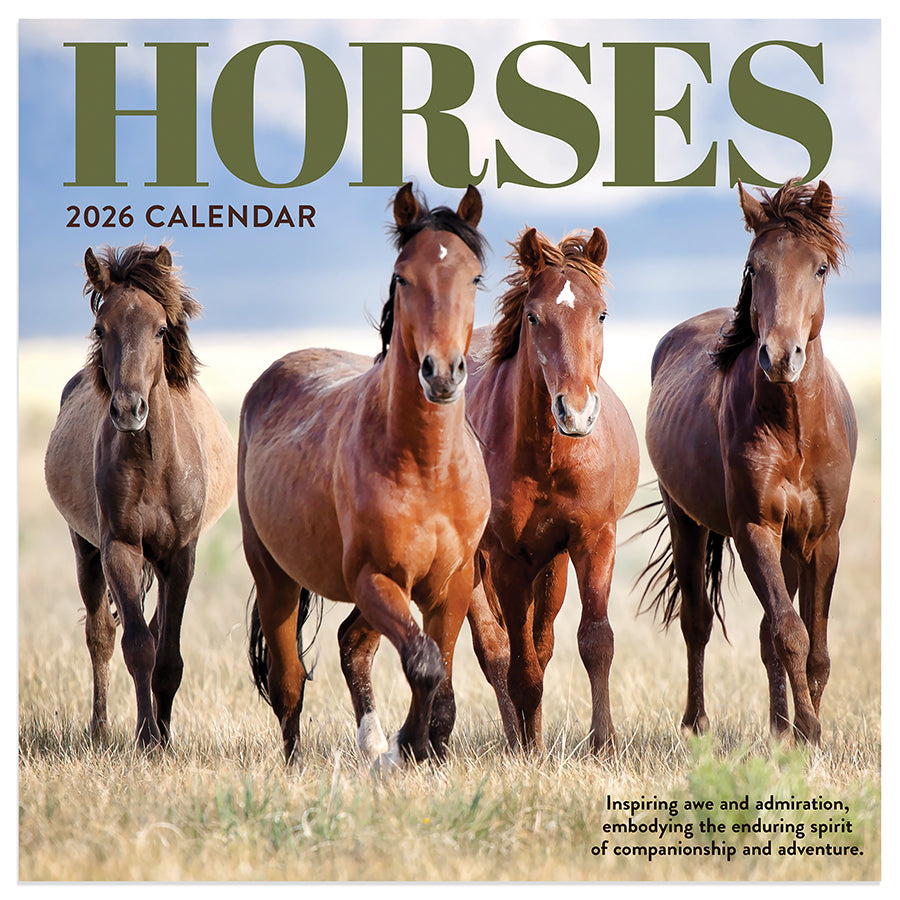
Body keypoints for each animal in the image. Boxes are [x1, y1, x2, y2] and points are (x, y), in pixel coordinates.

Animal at [44, 243, 237, 749]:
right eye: (100, 327)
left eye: (161, 329)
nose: (129, 409)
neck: (153, 464)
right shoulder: (120, 549)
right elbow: (137, 647)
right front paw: (147, 739)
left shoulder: (180, 557)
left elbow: (168, 655)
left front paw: (163, 737)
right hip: (85, 549)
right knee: (101, 635)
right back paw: (100, 729)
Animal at [240, 183, 490, 766]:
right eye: (403, 277)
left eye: (474, 277)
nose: (441, 373)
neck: (427, 467)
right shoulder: (376, 577)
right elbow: (424, 664)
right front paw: (408, 745)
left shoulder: (451, 584)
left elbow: (441, 675)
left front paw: (423, 746)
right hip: (275, 578)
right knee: (289, 682)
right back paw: (304, 762)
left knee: (352, 644)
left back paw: (373, 744)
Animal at [339, 227, 640, 757]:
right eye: (533, 316)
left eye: (601, 313)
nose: (576, 411)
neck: (546, 457)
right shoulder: (505, 558)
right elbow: (517, 666)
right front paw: (528, 752)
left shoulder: (593, 538)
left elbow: (594, 641)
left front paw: (603, 744)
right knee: (492, 651)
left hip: (549, 565)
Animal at [639, 179, 857, 745]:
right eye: (754, 267)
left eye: (819, 268)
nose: (780, 357)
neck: (795, 431)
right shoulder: (755, 528)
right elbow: (790, 633)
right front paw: (809, 731)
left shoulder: (822, 538)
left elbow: (814, 647)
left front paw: (804, 729)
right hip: (687, 521)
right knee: (697, 622)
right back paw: (697, 723)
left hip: (789, 546)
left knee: (763, 633)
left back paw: (777, 728)